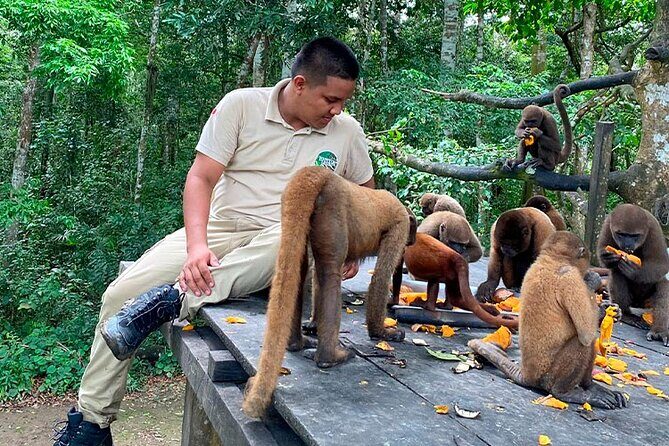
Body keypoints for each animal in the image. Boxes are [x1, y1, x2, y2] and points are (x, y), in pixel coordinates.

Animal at [243, 166, 413, 418]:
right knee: (330, 269)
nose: (413, 240)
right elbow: (381, 278)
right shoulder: (399, 225)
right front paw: (383, 332)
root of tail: (318, 174)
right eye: (412, 232)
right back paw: (329, 357)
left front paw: (314, 323)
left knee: (303, 268)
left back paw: (298, 343)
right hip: (333, 209)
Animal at [468, 231, 627, 409]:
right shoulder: (570, 276)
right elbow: (586, 332)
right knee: (583, 342)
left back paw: (590, 387)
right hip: (548, 376)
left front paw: (611, 309)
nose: (587, 270)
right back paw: (564, 392)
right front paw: (594, 284)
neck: (551, 260)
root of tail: (528, 374)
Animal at [597, 203, 669, 345]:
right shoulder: (608, 224)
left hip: (645, 301)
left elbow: (661, 264)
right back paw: (627, 315)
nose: (627, 245)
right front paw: (608, 257)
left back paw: (659, 331)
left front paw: (634, 271)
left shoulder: (654, 229)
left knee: (663, 283)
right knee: (617, 271)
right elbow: (603, 249)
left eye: (634, 236)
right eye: (621, 234)